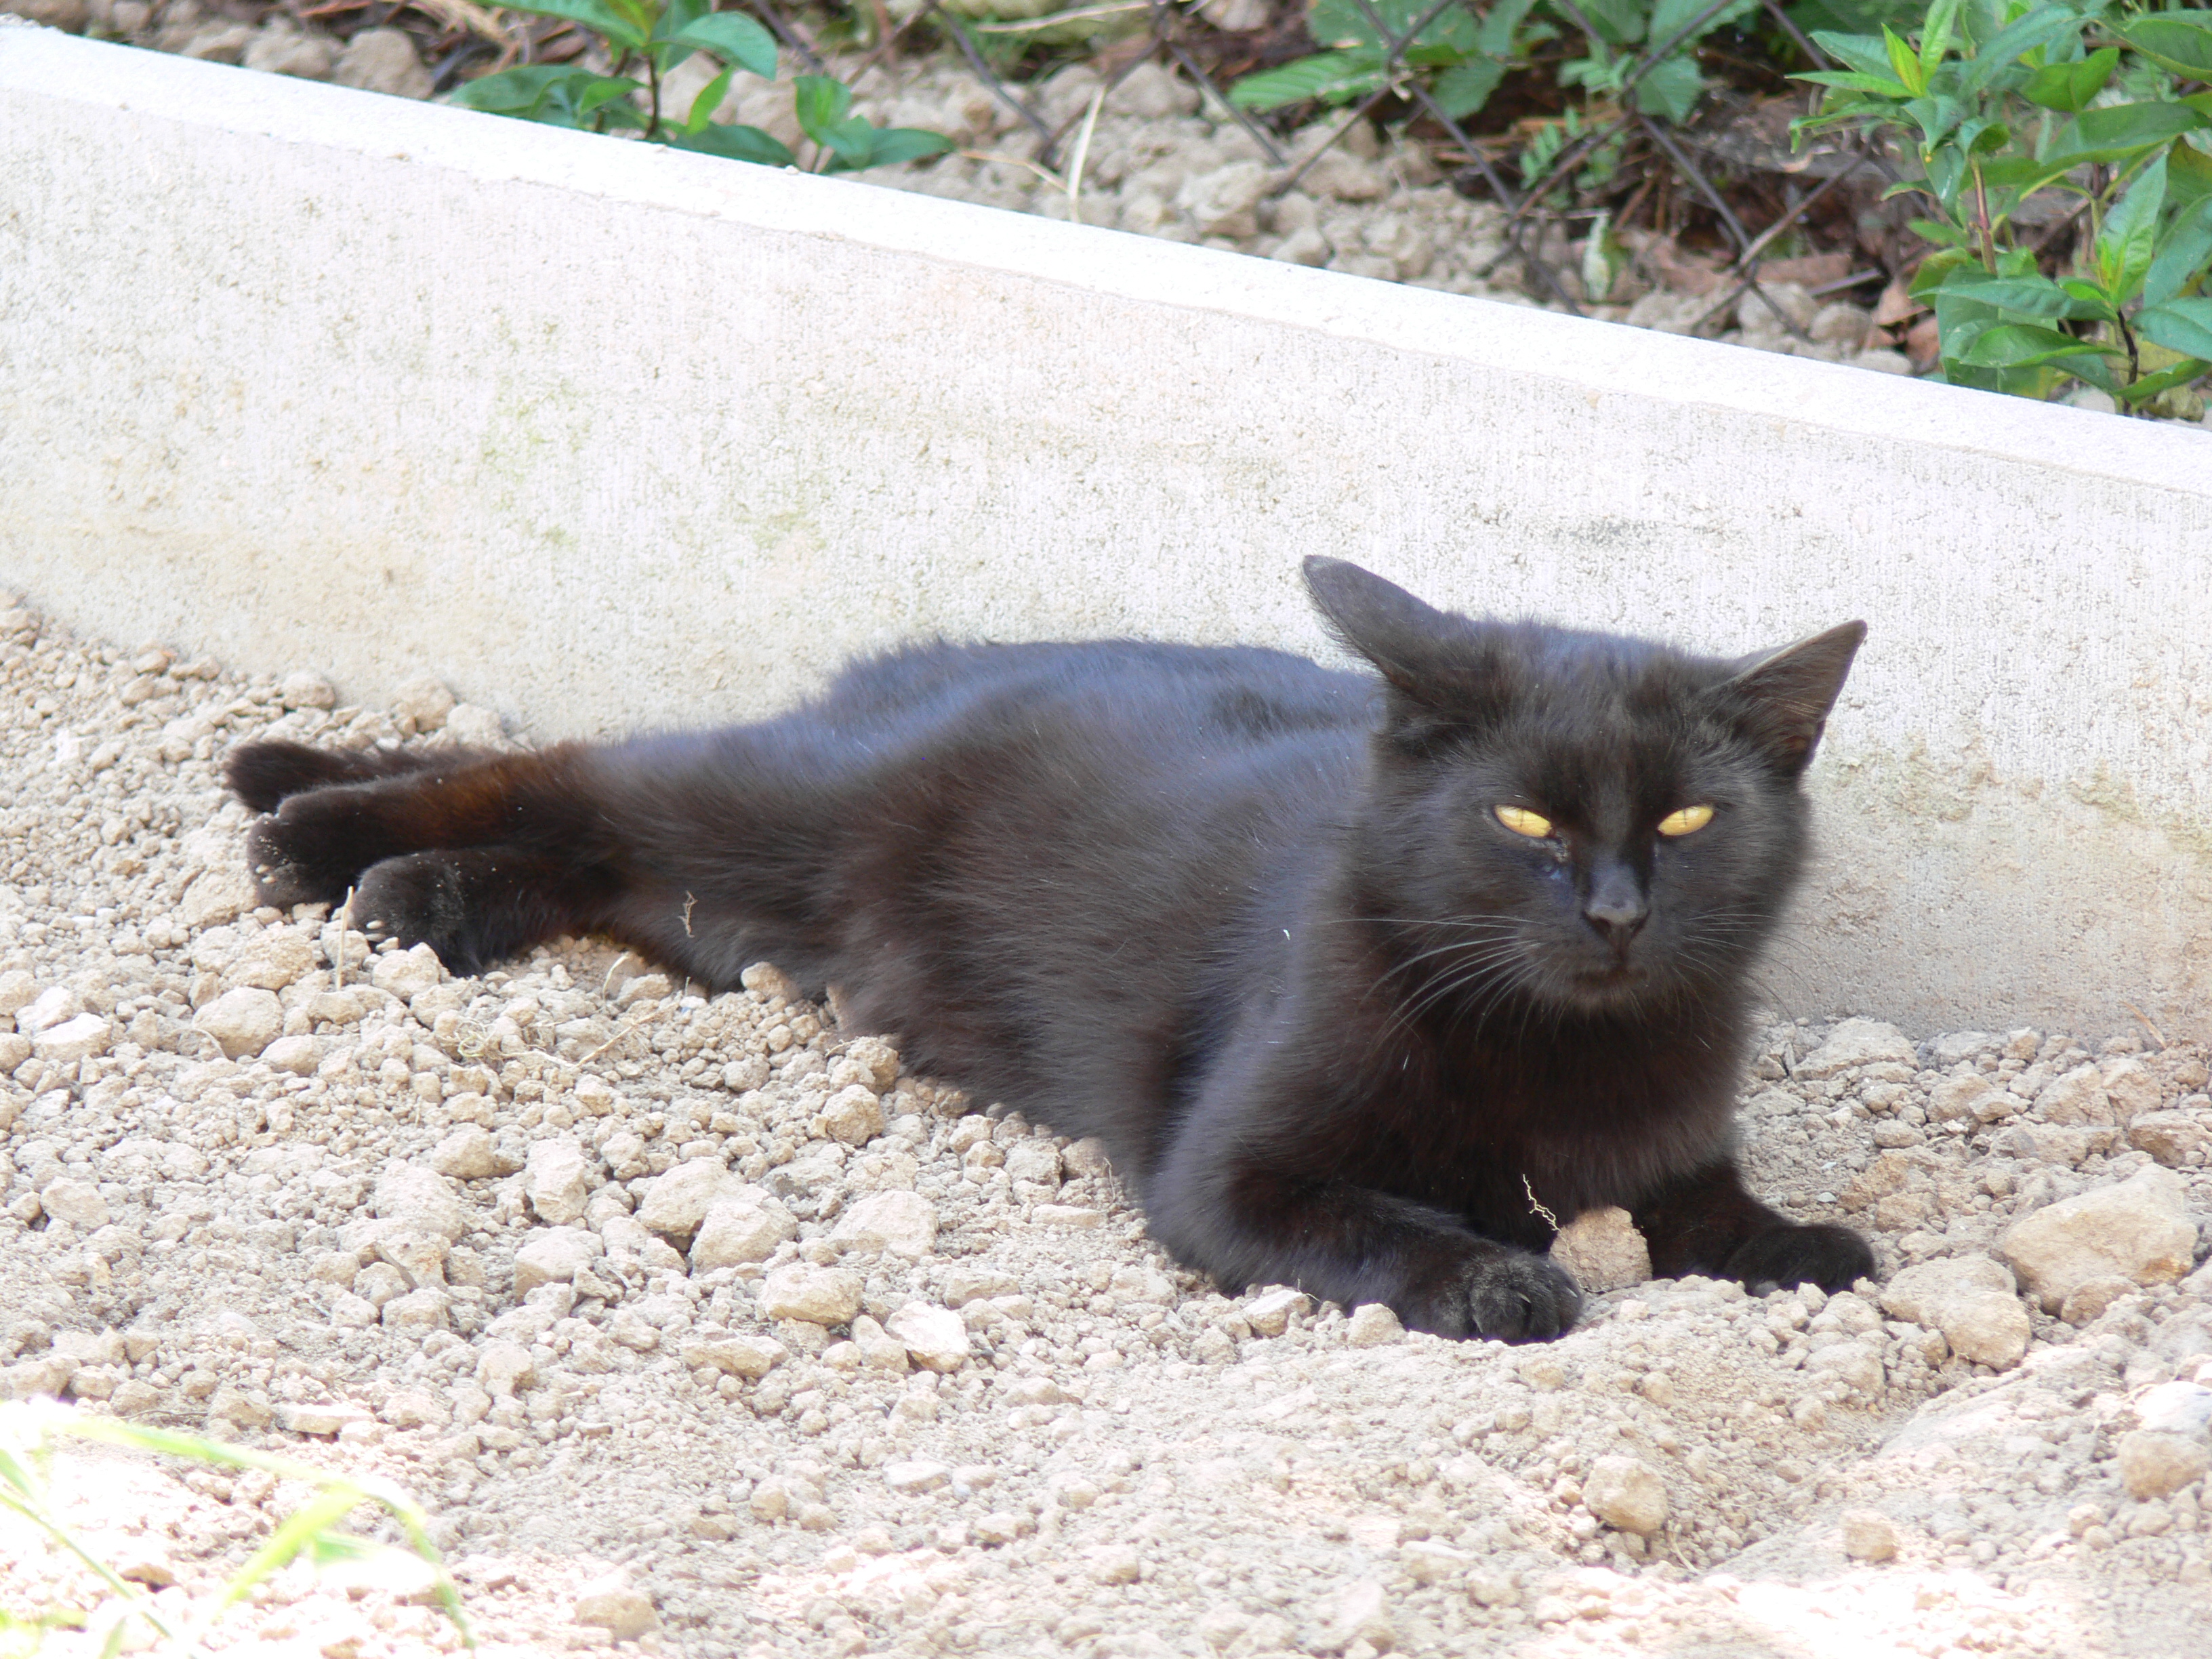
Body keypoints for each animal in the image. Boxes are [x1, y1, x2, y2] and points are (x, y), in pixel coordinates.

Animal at [233, 566, 1875, 1345]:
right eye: (1524, 816)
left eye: (1688, 816)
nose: (1614, 913)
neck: (1553, 1050)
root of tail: (917, 665)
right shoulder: (1226, 1175)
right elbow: (1386, 1225)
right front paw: (1501, 1281)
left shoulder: (1669, 1149)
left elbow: (1713, 1213)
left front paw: (1800, 1245)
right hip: (779, 810)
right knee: (580, 773)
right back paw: (303, 809)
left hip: (732, 913)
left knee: (599, 859)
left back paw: (423, 890)